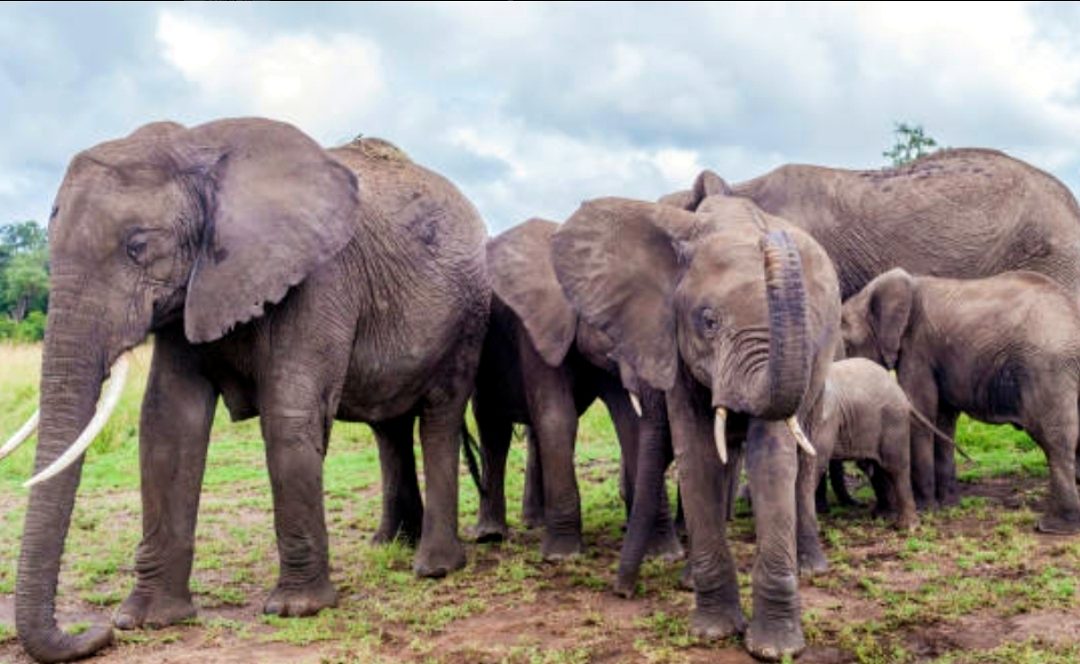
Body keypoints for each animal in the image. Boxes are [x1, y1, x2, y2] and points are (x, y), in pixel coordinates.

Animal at [3, 118, 489, 663]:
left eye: (138, 246)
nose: (95, 632)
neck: (199, 150)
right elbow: (168, 425)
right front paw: (148, 620)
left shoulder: (320, 277)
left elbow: (288, 420)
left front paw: (298, 609)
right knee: (391, 428)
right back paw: (389, 545)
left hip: (468, 318)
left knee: (440, 417)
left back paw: (434, 566)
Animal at [471, 218, 682, 565]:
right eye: (611, 317)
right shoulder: (536, 329)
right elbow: (558, 418)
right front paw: (561, 556)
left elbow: (629, 421)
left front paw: (664, 553)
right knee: (493, 430)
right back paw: (490, 535)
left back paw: (536, 522)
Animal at [551, 192, 841, 661]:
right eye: (708, 321)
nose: (621, 593)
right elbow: (699, 455)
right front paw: (714, 632)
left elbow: (772, 460)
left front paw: (775, 648)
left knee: (802, 460)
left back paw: (811, 568)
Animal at [842, 267, 1080, 533]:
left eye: (846, 345)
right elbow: (944, 419)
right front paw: (948, 504)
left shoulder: (918, 348)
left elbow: (921, 411)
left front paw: (925, 508)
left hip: (1047, 368)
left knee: (1054, 440)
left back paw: (1053, 526)